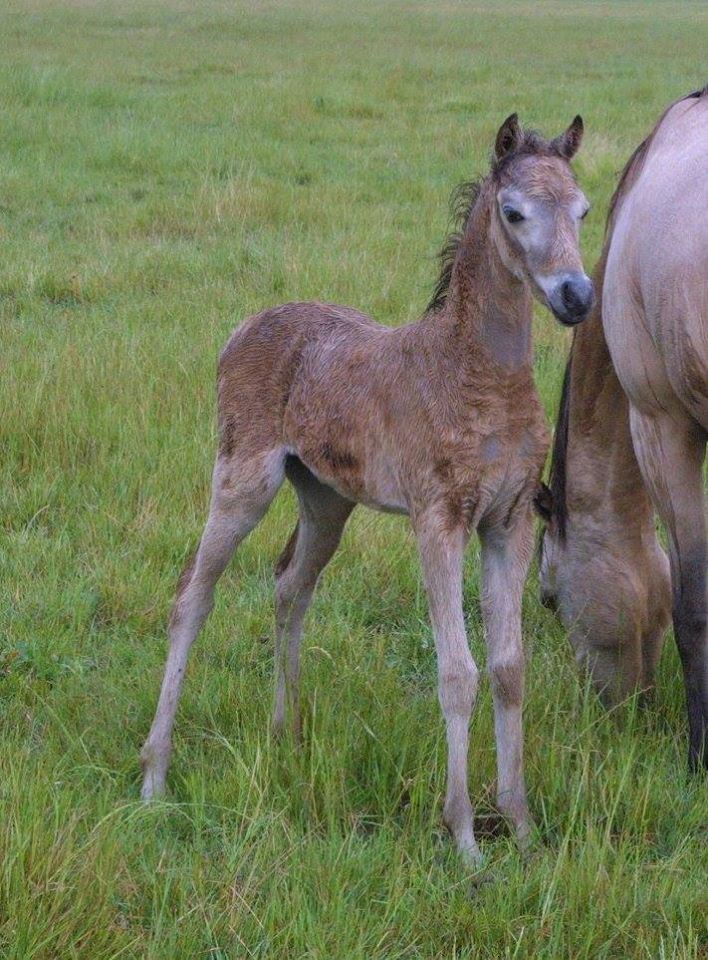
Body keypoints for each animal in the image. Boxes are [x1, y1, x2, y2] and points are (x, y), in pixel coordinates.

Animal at [141, 114, 596, 864]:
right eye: (514, 212)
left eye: (584, 210)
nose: (576, 296)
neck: (478, 375)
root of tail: (243, 327)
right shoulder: (438, 521)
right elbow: (458, 673)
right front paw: (465, 838)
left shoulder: (509, 523)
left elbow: (508, 668)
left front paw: (523, 828)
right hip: (242, 479)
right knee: (191, 598)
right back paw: (154, 774)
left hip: (327, 500)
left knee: (290, 588)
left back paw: (287, 733)